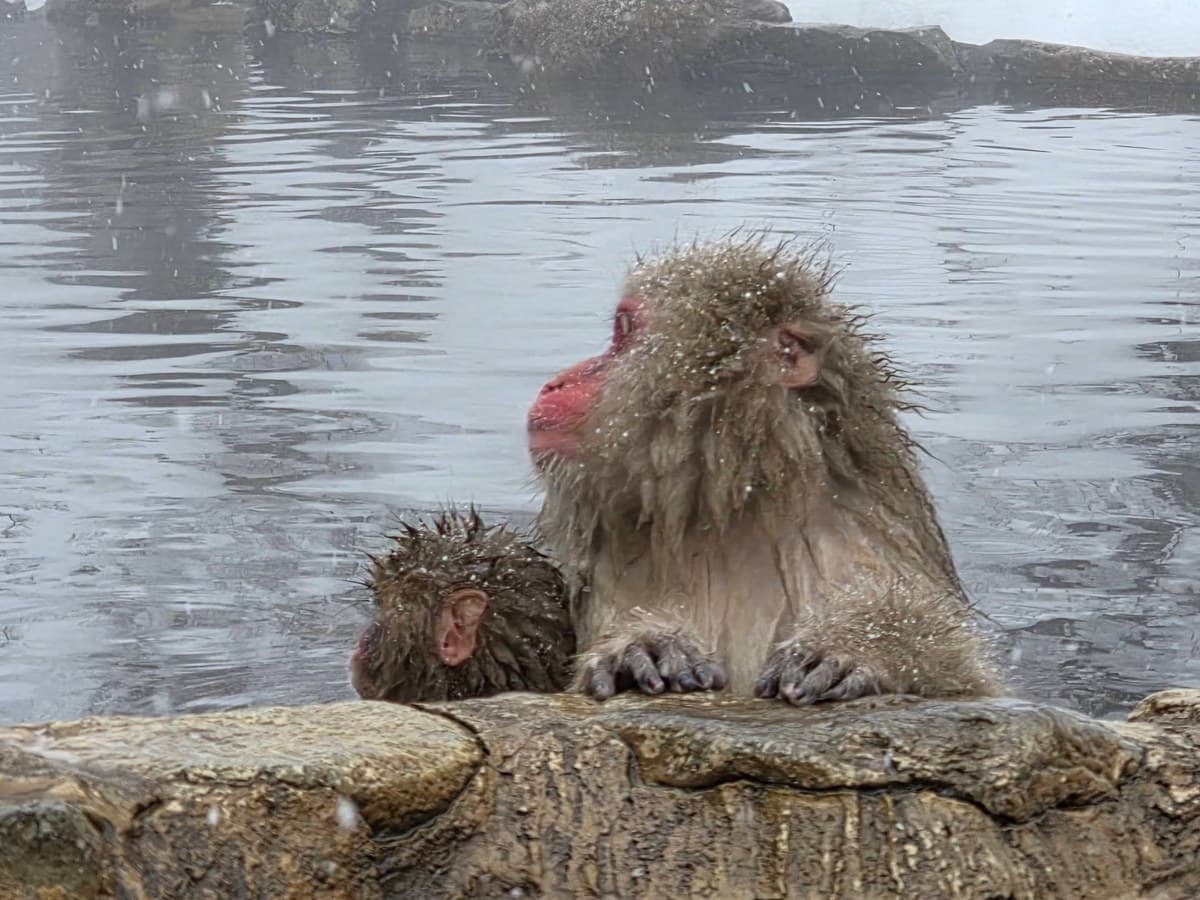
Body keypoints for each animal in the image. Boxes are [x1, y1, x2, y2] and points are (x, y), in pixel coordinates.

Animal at [526, 234, 1000, 705]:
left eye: (623, 332)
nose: (554, 383)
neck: (735, 508)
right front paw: (646, 645)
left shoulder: (857, 534)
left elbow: (971, 684)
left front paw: (864, 645)